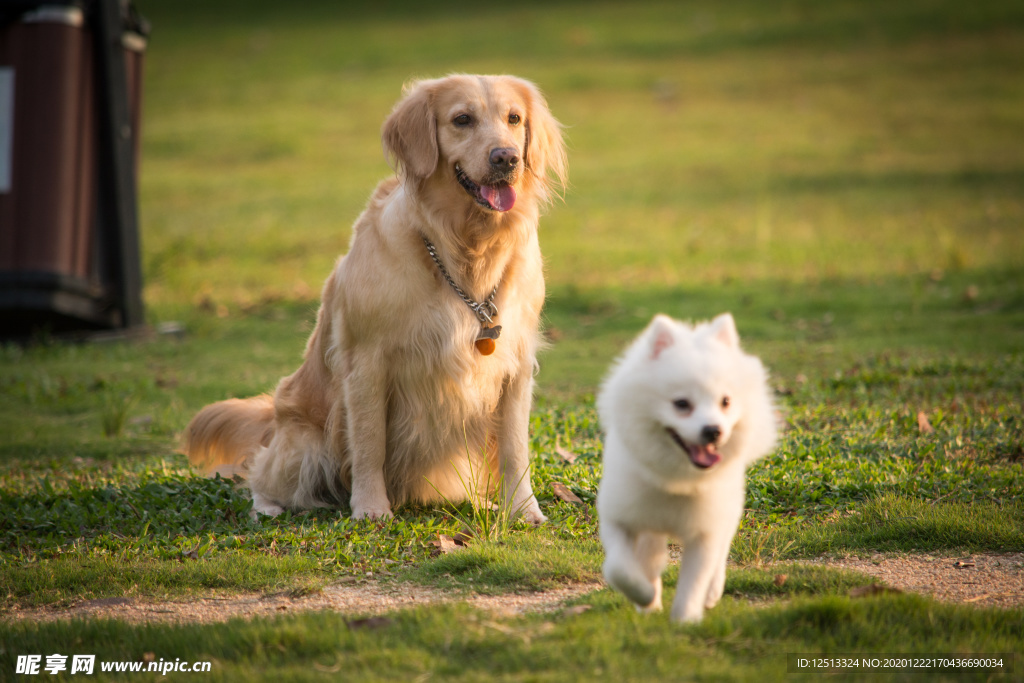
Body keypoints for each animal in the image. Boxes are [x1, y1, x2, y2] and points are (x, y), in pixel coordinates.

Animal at [593, 313, 774, 622]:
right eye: (681, 404)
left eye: (726, 402)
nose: (713, 430)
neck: (676, 480)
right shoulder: (620, 518)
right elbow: (619, 569)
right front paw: (645, 595)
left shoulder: (705, 531)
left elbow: (695, 580)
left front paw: (685, 620)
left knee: (721, 554)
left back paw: (712, 592)